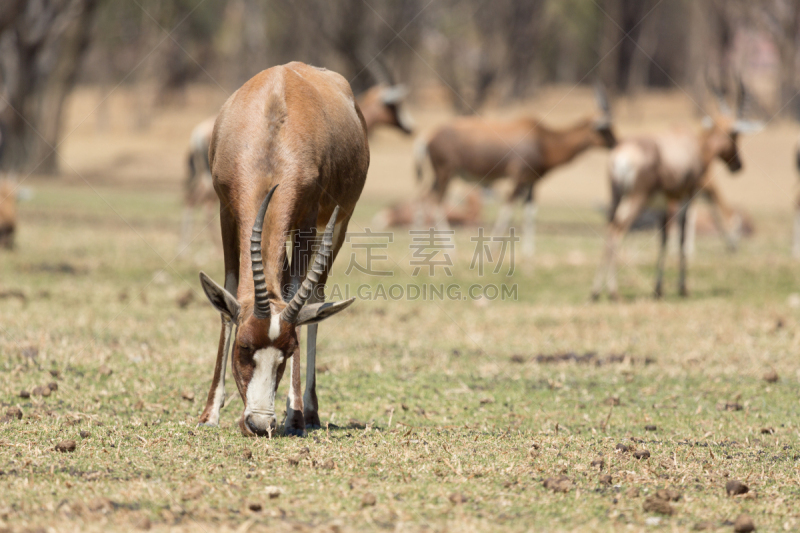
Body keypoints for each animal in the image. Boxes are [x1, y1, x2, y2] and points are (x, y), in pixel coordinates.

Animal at [195, 62, 370, 436]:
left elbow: (297, 296)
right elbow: (228, 297)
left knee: (316, 297)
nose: (259, 424)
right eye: (244, 345)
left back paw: (309, 411)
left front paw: (297, 416)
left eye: (288, 351)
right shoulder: (226, 212)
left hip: (338, 223)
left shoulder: (307, 220)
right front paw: (208, 415)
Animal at [416, 85, 616, 256]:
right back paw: (451, 250)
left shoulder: (531, 182)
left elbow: (530, 213)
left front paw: (529, 255)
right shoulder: (518, 179)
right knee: (435, 201)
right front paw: (492, 248)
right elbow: (508, 207)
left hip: (440, 177)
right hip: (446, 174)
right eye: (605, 129)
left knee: (424, 198)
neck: (543, 140)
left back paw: (420, 246)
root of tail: (428, 137)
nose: (617, 143)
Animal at [592, 90, 760, 302]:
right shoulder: (687, 195)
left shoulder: (664, 203)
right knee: (617, 231)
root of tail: (622, 155)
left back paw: (596, 291)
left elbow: (663, 239)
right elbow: (681, 236)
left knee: (609, 228)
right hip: (636, 199)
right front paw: (683, 288)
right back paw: (613, 292)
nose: (738, 165)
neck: (694, 145)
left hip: (616, 197)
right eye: (735, 135)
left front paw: (658, 289)